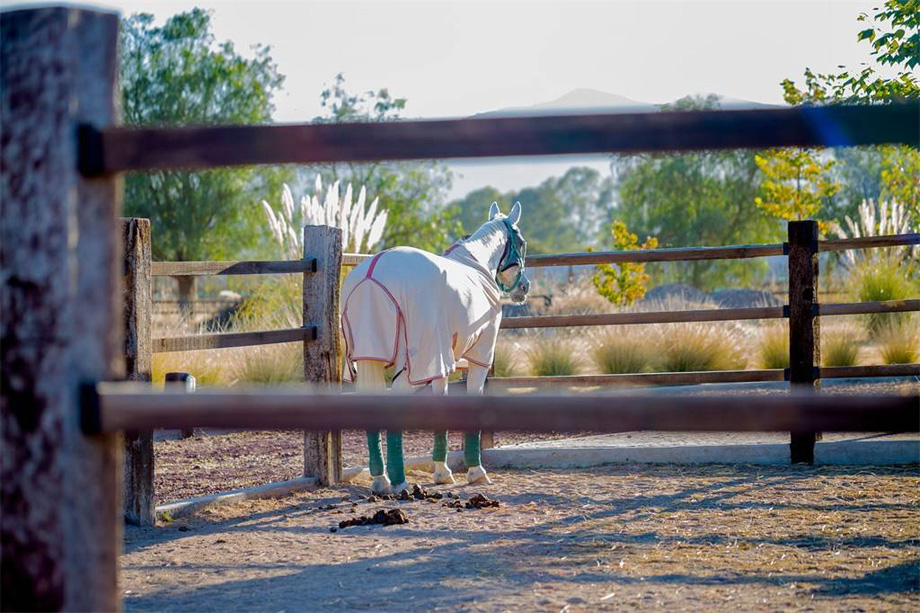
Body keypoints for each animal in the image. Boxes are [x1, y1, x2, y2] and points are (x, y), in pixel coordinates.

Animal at [340, 201, 528, 492]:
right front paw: (476, 472)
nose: (524, 288)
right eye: (521, 242)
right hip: (413, 365)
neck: (477, 267)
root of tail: (372, 276)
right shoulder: (479, 355)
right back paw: (399, 483)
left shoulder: (440, 362)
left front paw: (442, 472)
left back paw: (381, 480)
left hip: (371, 357)